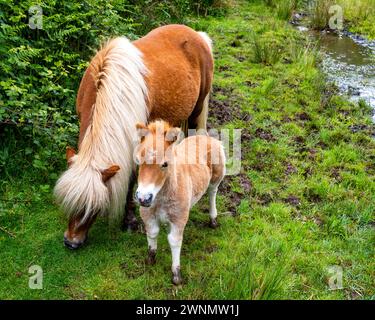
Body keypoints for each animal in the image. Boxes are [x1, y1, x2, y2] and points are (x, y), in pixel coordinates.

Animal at [53, 25, 214, 250]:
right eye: (69, 202)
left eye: (92, 208)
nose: (71, 242)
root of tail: (197, 35)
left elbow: (130, 179)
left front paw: (128, 220)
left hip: (196, 110)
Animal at [135, 120, 226, 284]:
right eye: (138, 161)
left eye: (165, 164)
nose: (143, 198)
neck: (160, 198)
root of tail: (205, 136)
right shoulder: (147, 214)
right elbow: (152, 233)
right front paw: (150, 260)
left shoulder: (179, 218)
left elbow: (174, 241)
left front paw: (176, 276)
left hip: (218, 174)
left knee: (212, 192)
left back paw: (213, 220)